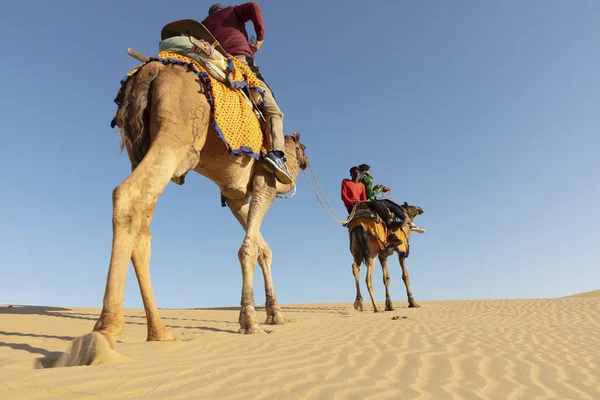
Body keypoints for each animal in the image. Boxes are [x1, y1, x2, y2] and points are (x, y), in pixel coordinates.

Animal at [84, 56, 310, 350]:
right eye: (303, 149)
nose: (305, 162)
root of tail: (151, 70)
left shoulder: (235, 194)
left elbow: (262, 248)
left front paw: (275, 315)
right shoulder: (265, 182)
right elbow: (250, 248)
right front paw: (250, 321)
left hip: (139, 148)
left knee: (143, 227)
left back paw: (160, 332)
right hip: (177, 137)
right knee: (126, 195)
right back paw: (105, 331)